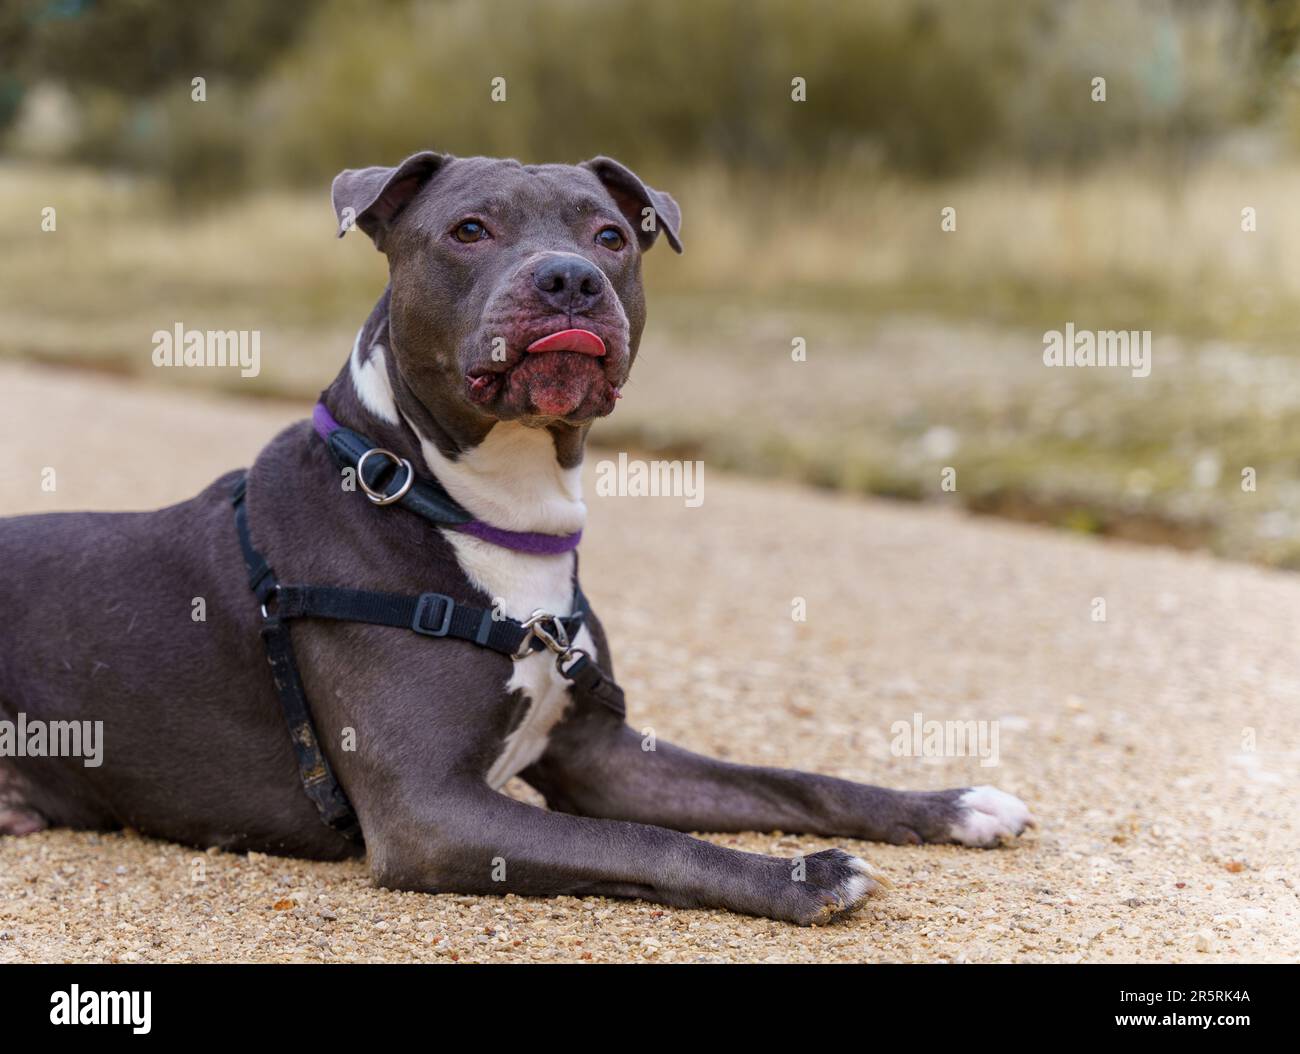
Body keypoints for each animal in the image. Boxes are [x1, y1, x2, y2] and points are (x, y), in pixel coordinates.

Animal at [2, 150, 1034, 925]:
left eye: (611, 236)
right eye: (470, 230)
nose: (570, 277)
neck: (477, 509)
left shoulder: (603, 758)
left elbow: (787, 780)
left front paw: (949, 807)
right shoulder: (432, 812)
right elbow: (641, 841)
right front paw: (806, 875)